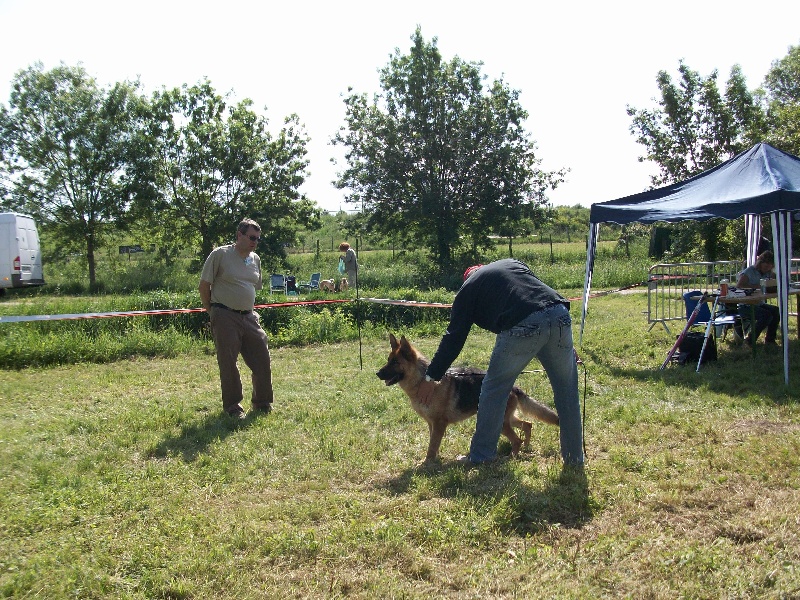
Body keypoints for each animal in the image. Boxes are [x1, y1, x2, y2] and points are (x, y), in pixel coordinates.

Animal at [374, 332, 556, 464]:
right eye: (388, 360)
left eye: (395, 362)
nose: (377, 373)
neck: (422, 382)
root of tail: (513, 387)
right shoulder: (432, 424)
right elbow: (433, 443)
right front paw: (434, 460)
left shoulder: (439, 423)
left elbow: (432, 446)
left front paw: (426, 464)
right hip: (508, 419)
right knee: (528, 424)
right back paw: (526, 446)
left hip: (501, 423)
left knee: (516, 439)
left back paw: (512, 457)